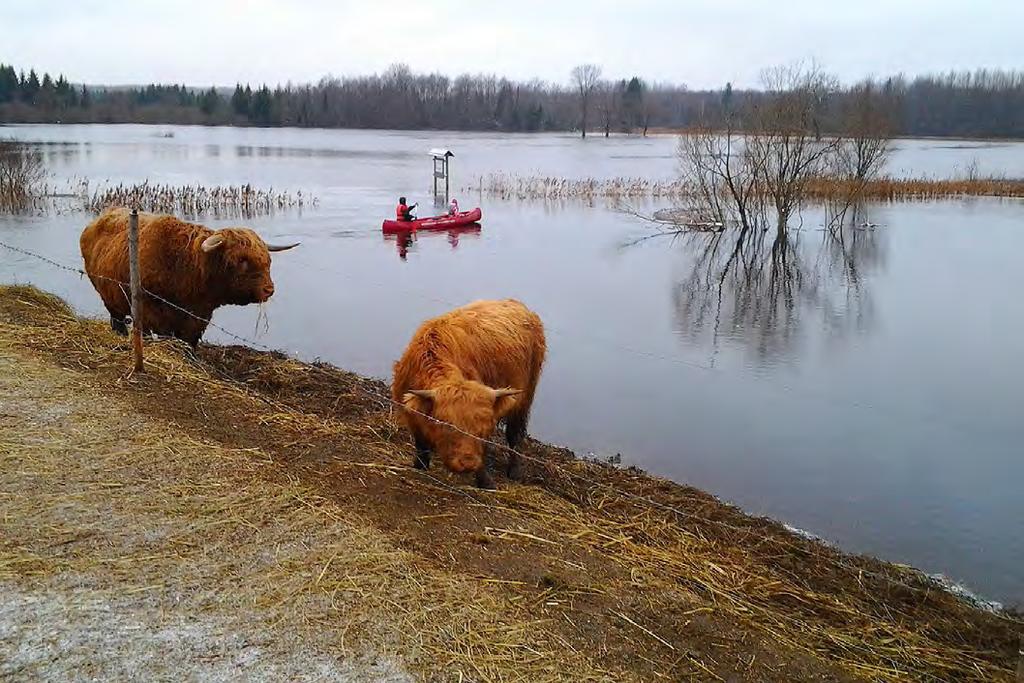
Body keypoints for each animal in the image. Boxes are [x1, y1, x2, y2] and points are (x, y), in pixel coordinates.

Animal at [80, 208, 299, 348]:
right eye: (241, 260)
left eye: (268, 260)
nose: (269, 289)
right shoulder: (152, 311)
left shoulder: (199, 316)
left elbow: (190, 341)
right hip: (110, 299)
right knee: (117, 320)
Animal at [391, 296, 548, 485]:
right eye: (447, 424)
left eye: (481, 429)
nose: (467, 463)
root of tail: (515, 302)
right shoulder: (411, 412)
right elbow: (421, 444)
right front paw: (420, 466)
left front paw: (486, 482)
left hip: (527, 392)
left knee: (515, 432)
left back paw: (515, 471)